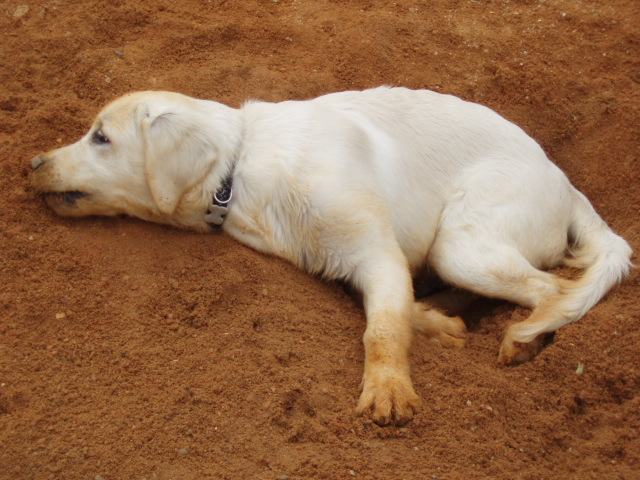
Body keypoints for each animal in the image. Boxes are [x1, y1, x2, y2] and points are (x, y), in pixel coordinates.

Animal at [28, 86, 632, 424]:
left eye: (101, 138)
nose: (31, 163)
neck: (241, 169)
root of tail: (568, 185)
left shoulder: (376, 249)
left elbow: (381, 329)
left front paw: (388, 391)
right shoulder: (343, 258)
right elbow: (393, 311)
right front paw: (433, 324)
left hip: (462, 241)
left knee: (554, 289)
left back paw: (523, 341)